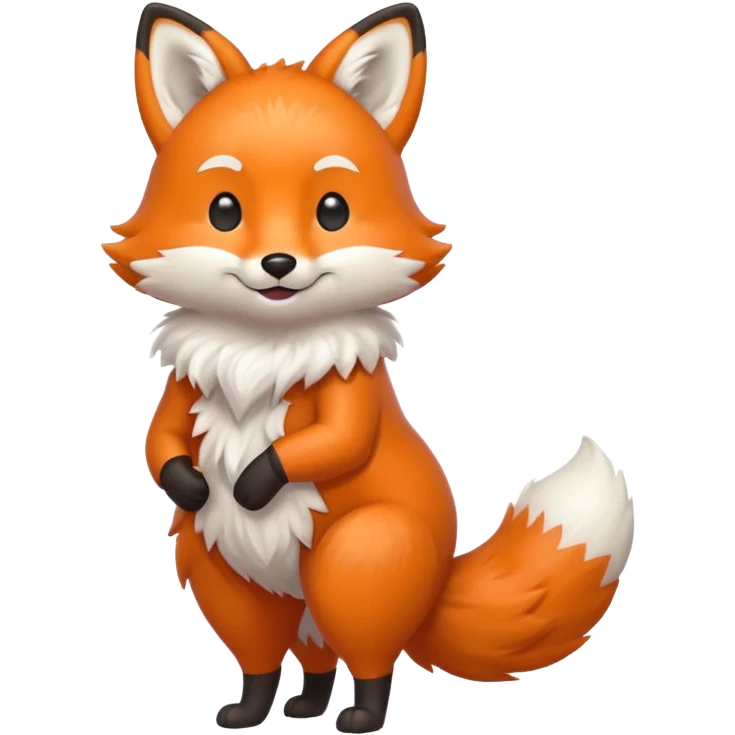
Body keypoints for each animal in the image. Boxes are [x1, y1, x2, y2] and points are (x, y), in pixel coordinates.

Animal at [104, 2, 636, 732]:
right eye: (223, 210)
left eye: (333, 210)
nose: (277, 264)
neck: (262, 350)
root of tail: (435, 587)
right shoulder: (185, 390)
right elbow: (161, 443)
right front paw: (192, 483)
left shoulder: (347, 391)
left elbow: (336, 442)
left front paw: (252, 484)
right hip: (227, 571)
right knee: (281, 656)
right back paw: (276, 706)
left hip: (353, 560)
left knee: (370, 659)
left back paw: (359, 715)